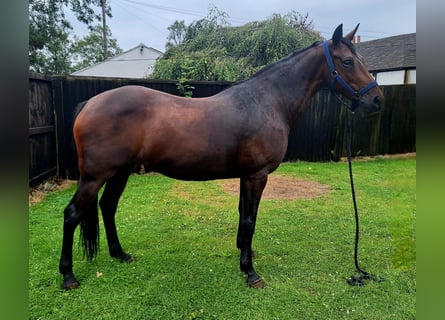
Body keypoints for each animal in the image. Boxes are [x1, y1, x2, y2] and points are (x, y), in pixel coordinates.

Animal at [59, 24, 382, 290]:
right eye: (348, 61)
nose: (377, 99)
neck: (266, 102)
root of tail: (90, 103)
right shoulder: (256, 175)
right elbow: (250, 219)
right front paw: (250, 272)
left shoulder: (245, 175)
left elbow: (242, 215)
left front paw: (244, 253)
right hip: (95, 176)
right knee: (72, 214)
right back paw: (68, 276)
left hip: (120, 172)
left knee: (108, 206)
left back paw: (120, 254)